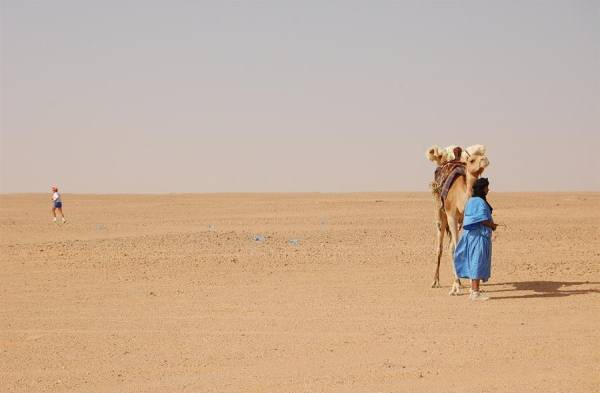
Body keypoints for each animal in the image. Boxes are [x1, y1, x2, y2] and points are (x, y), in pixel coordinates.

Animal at [426, 145, 488, 292]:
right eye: (471, 160)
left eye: (483, 156)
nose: (485, 160)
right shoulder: (452, 216)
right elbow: (456, 247)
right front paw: (455, 286)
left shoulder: (468, 220)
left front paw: (471, 284)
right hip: (440, 214)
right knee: (440, 247)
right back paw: (435, 281)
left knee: (450, 246)